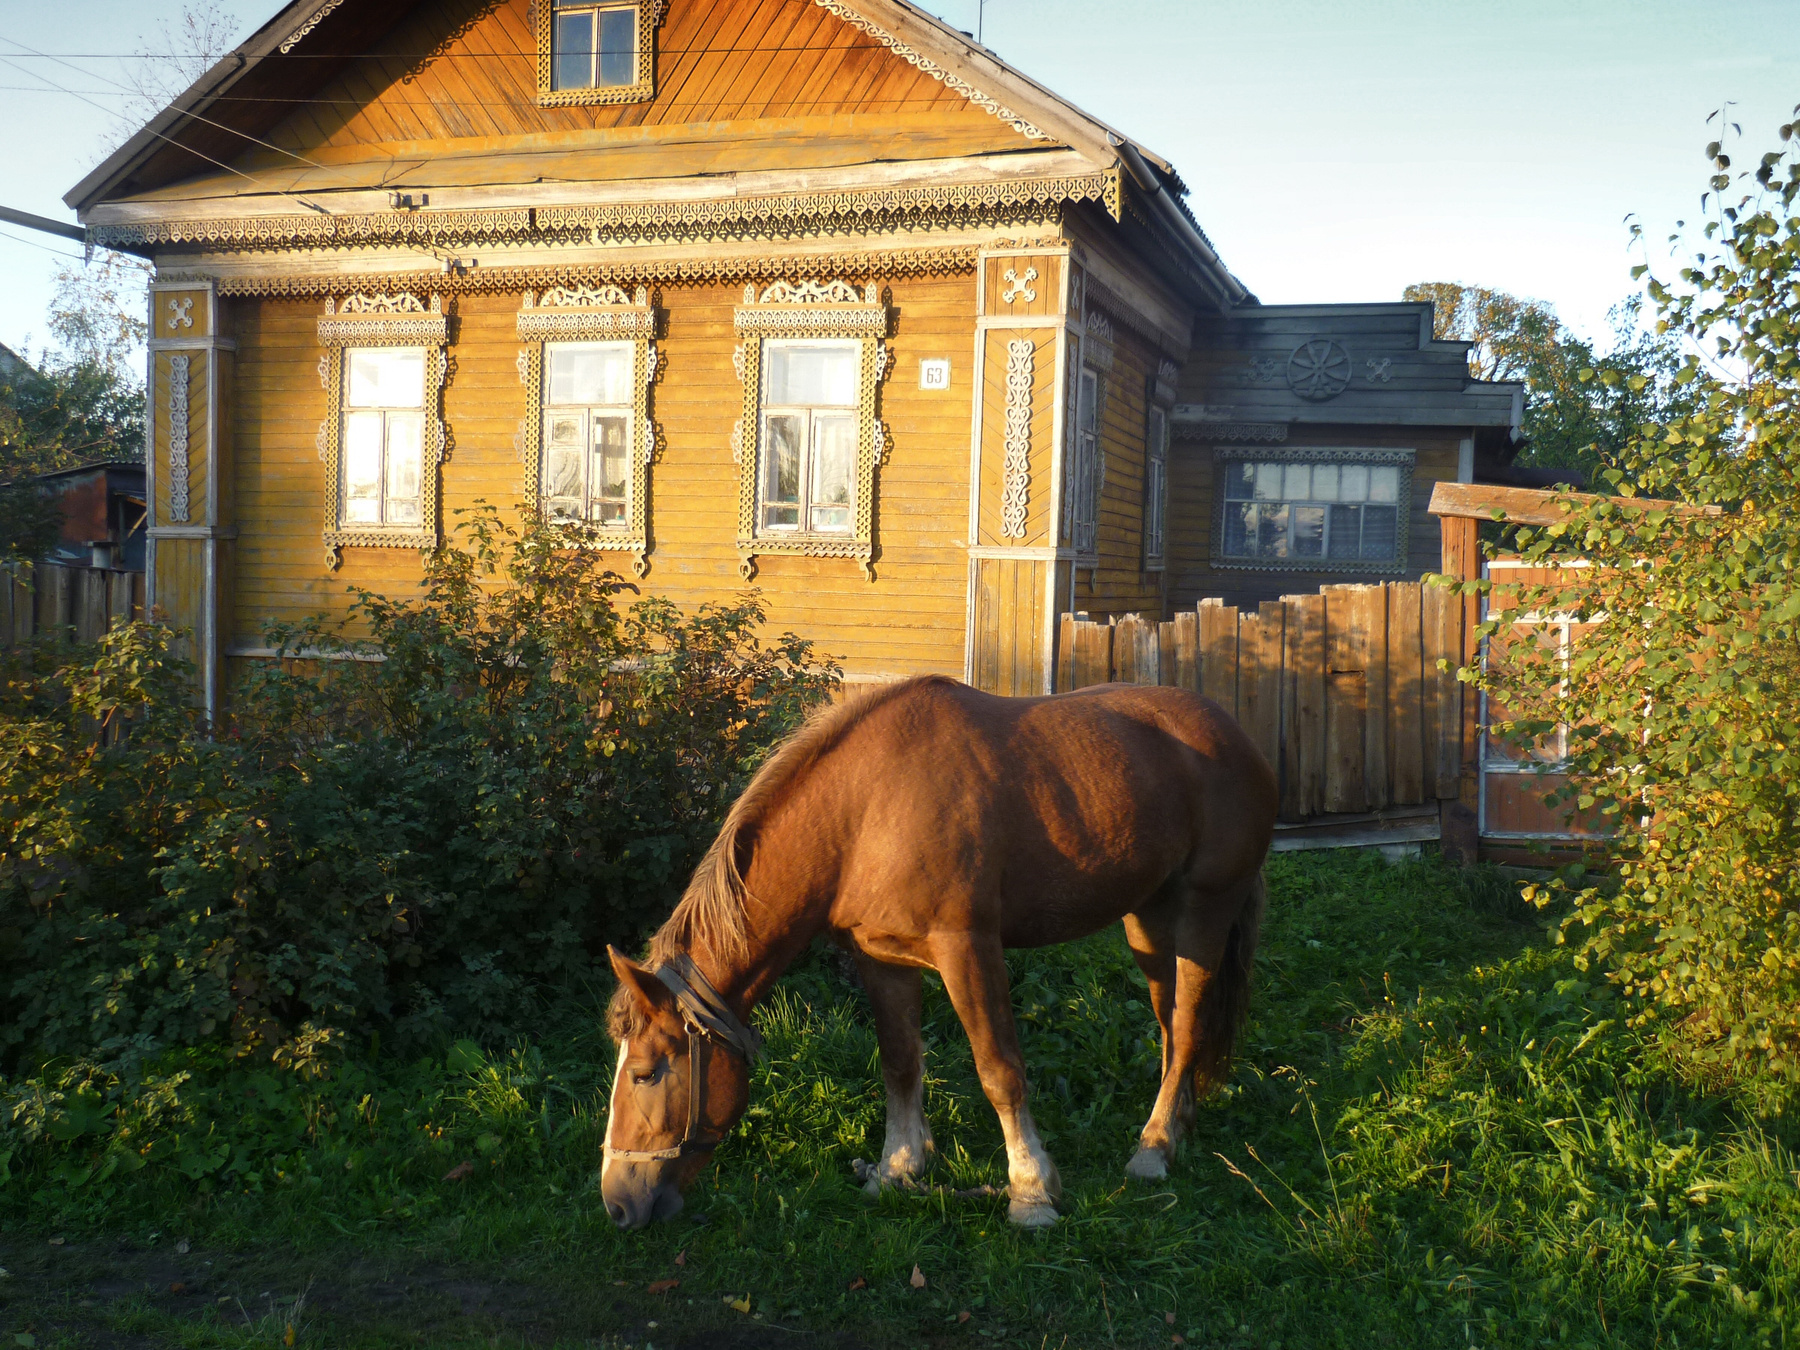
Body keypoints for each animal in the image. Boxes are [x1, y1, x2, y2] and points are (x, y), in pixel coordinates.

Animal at [604, 673, 1281, 1231]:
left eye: (645, 1073)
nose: (617, 1203)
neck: (864, 811)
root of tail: (1235, 735)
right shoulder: (881, 960)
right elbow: (900, 1063)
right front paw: (898, 1168)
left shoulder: (967, 950)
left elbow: (1000, 1071)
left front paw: (1030, 1193)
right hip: (1148, 923)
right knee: (1171, 1028)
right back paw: (1176, 1126)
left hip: (1203, 914)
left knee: (1188, 1029)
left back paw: (1153, 1148)